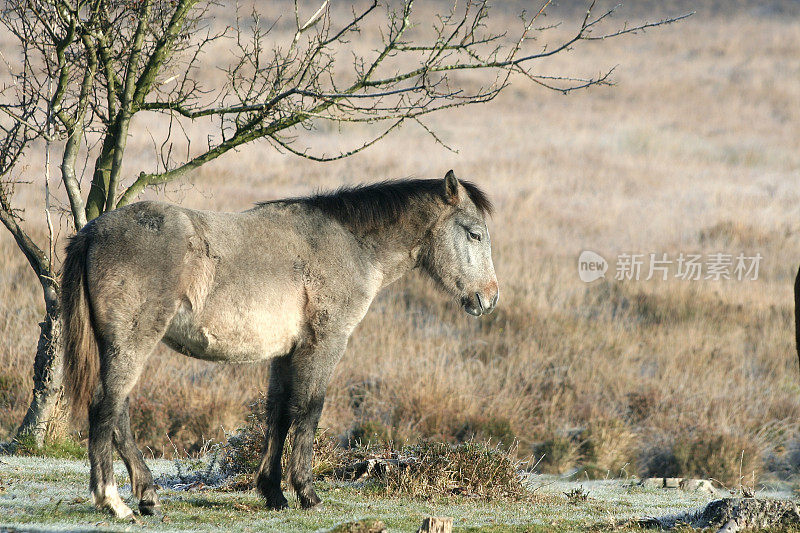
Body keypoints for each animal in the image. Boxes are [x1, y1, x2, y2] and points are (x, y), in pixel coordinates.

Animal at [62, 169, 500, 516]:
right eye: (474, 234)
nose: (489, 298)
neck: (350, 245)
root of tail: (92, 231)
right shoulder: (324, 344)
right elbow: (309, 411)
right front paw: (307, 494)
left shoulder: (285, 354)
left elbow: (280, 415)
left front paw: (273, 492)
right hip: (133, 341)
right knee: (106, 408)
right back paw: (113, 500)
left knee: (117, 413)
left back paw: (148, 497)